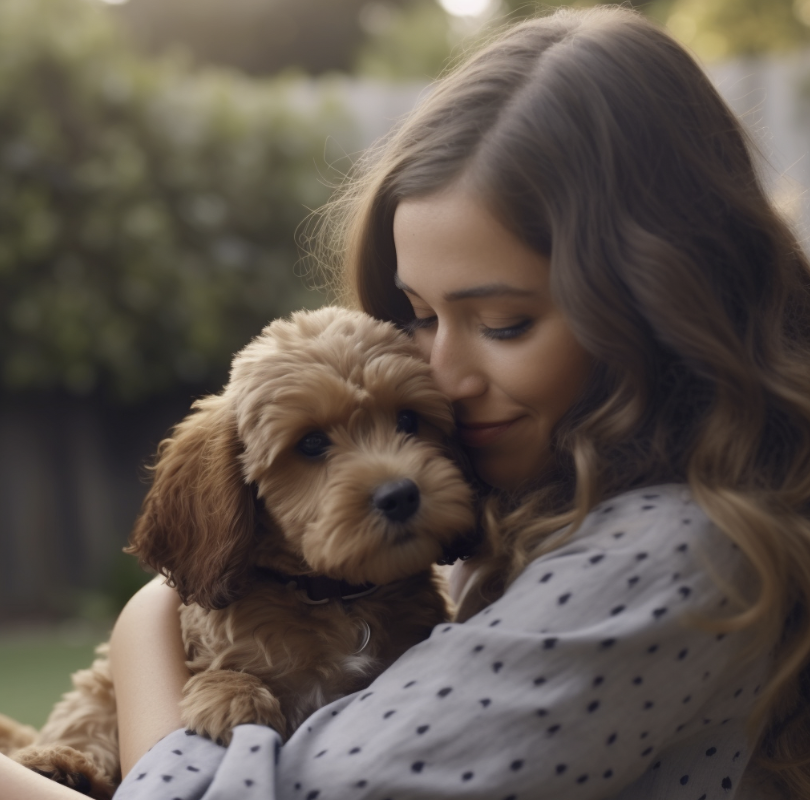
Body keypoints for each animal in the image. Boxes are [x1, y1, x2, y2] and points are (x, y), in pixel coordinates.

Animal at [3, 308, 474, 800]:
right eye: (311, 443)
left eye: (408, 420)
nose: (400, 495)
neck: (334, 596)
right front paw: (234, 699)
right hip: (95, 690)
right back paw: (58, 766)